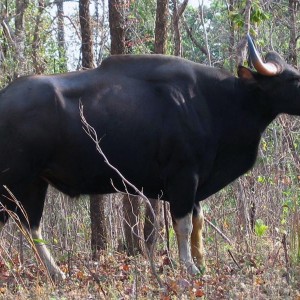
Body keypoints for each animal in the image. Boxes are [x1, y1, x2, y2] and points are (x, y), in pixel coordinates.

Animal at [0, 37, 298, 278]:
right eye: (293, 80)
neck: (215, 102)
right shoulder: (183, 177)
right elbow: (183, 225)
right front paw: (189, 267)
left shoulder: (196, 182)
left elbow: (198, 224)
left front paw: (201, 263)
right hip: (12, 181)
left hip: (34, 182)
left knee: (31, 225)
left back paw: (57, 273)